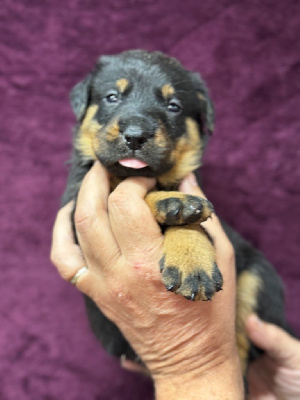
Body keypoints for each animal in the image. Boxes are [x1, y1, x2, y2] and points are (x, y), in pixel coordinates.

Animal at [62, 50, 290, 378]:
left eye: (174, 106)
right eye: (111, 97)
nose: (136, 135)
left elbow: (196, 225)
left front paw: (193, 264)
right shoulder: (78, 208)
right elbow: (125, 192)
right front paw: (174, 202)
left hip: (258, 276)